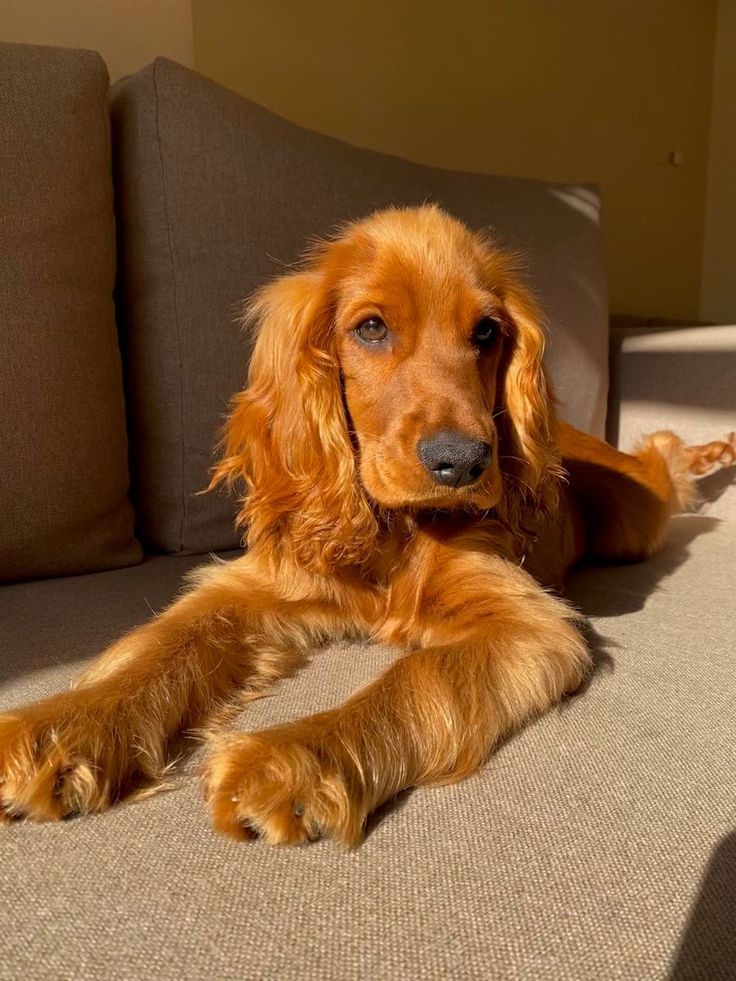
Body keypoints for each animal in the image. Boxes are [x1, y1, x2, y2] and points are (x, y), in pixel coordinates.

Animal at [2, 205, 732, 844]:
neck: (393, 531)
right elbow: (159, 645)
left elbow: (411, 681)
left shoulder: (527, 623)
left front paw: (290, 759)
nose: (464, 462)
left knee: (661, 462)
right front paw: (59, 728)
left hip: (633, 520)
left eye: (487, 332)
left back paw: (707, 452)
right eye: (372, 328)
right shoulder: (255, 586)